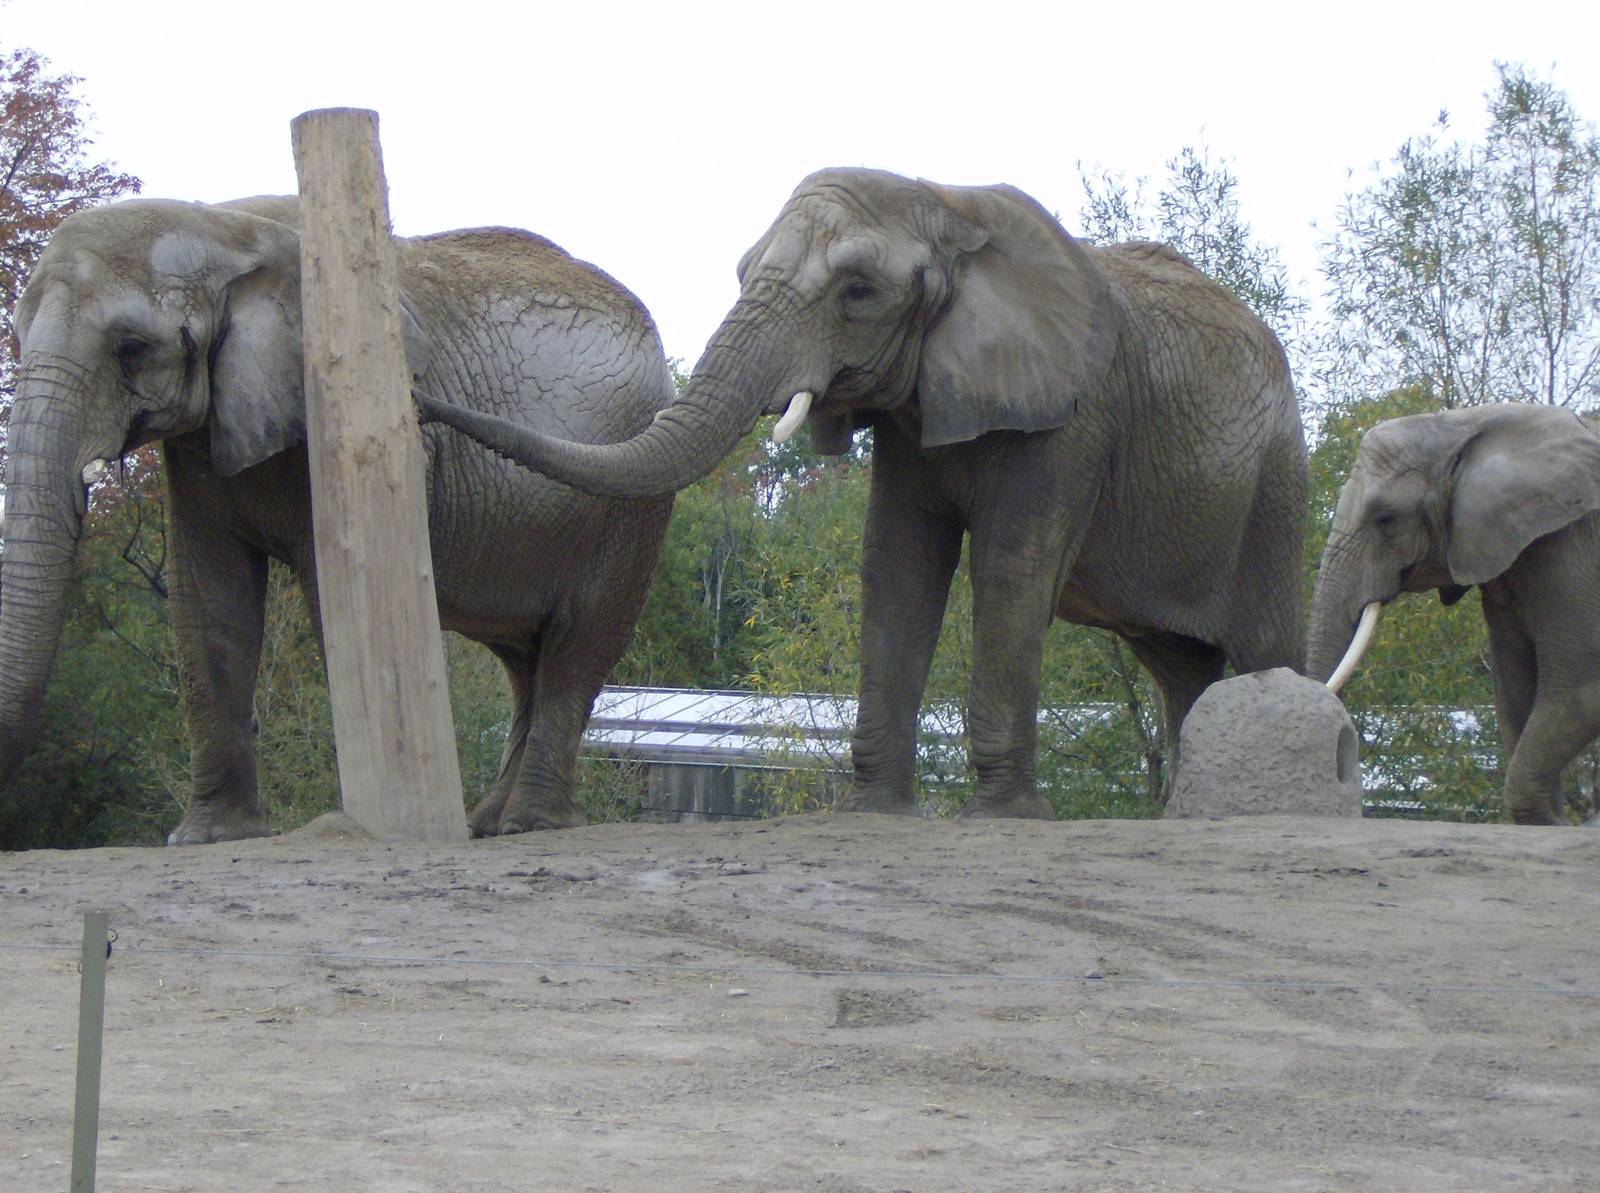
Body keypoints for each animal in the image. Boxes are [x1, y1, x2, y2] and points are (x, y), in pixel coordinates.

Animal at [1, 194, 674, 842]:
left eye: (132, 350)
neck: (222, 225)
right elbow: (211, 600)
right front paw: (208, 837)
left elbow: (338, 593)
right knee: (525, 661)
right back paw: (489, 823)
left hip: (628, 508)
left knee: (578, 646)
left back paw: (528, 822)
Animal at [416, 166, 1308, 817]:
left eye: (858, 292)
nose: (421, 400)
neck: (947, 201)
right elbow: (897, 565)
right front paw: (876, 808)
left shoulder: (1075, 417)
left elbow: (1012, 572)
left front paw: (1003, 816)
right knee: (1182, 668)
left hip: (1276, 475)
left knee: (1262, 648)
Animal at [1308, 402, 1600, 826]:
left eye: (1385, 519)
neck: (1463, 424)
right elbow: (1514, 689)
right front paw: (1553, 820)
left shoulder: (1572, 549)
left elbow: (1580, 689)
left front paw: (1555, 823)